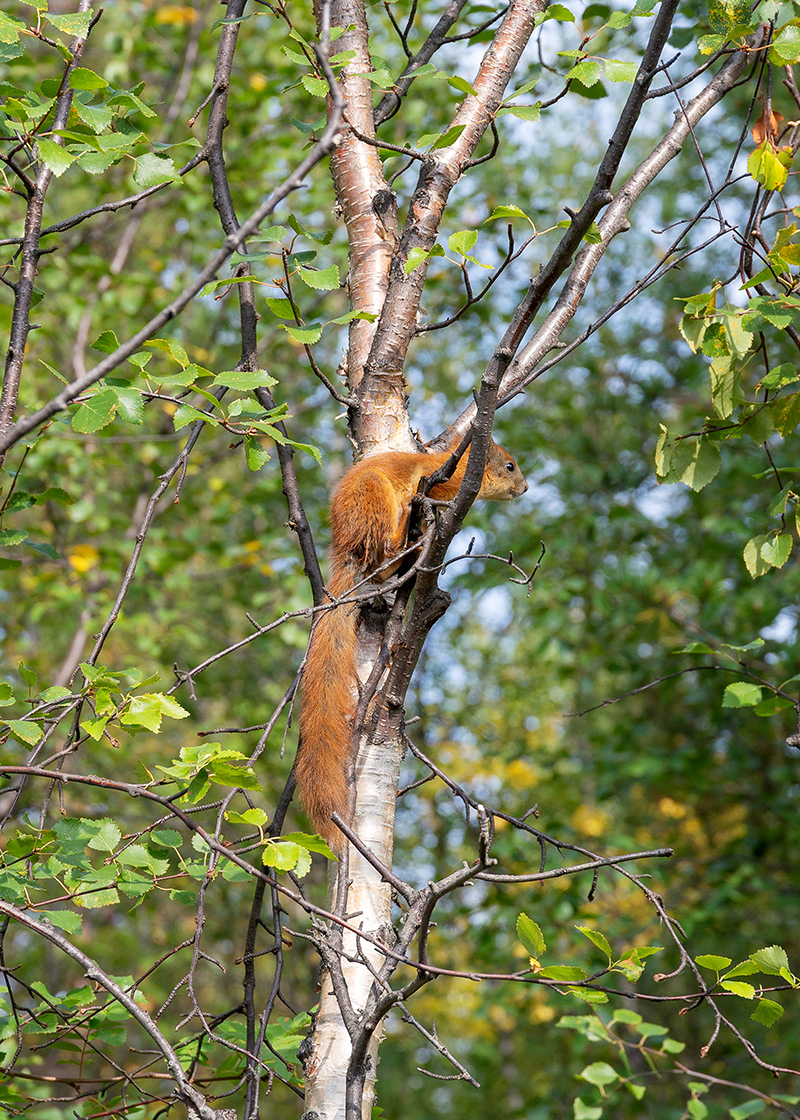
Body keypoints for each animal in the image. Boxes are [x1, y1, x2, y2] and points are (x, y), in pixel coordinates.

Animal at [291, 436, 524, 846]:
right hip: (375, 496)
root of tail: (344, 544)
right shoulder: (439, 484)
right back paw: (406, 538)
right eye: (509, 466)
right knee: (382, 546)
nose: (525, 488)